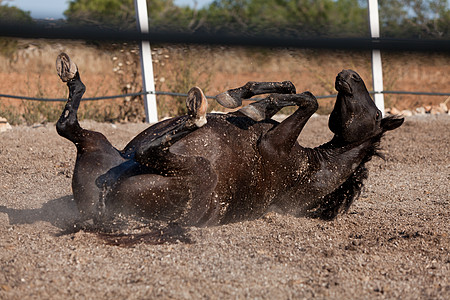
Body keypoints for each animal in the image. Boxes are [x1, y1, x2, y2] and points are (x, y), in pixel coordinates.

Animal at [54, 52, 402, 225]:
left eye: (375, 116)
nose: (350, 74)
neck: (310, 168)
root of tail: (101, 210)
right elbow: (294, 89)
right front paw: (243, 97)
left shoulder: (275, 145)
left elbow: (311, 100)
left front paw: (254, 106)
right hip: (96, 144)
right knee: (67, 125)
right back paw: (69, 72)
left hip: (199, 172)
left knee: (147, 151)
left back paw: (197, 111)